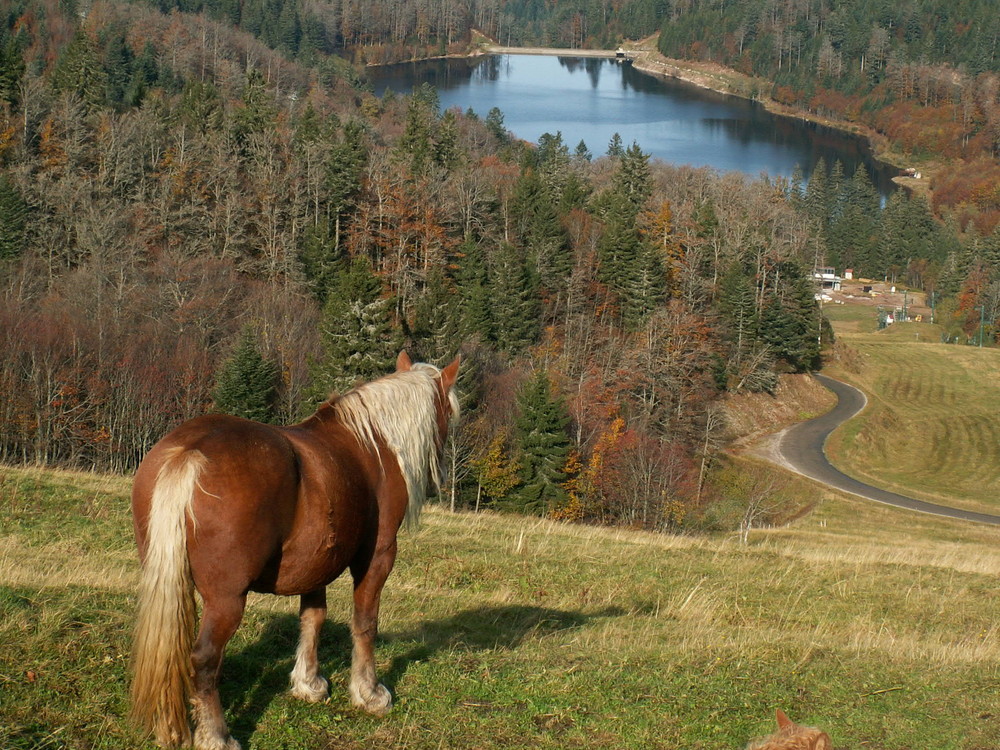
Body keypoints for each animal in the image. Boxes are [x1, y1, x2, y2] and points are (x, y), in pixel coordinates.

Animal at [129, 354, 460, 750]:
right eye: (448, 413)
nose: (442, 476)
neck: (372, 445)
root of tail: (191, 451)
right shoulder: (377, 557)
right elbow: (365, 623)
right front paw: (369, 693)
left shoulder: (316, 561)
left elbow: (313, 618)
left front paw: (308, 683)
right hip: (226, 599)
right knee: (204, 658)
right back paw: (217, 736)